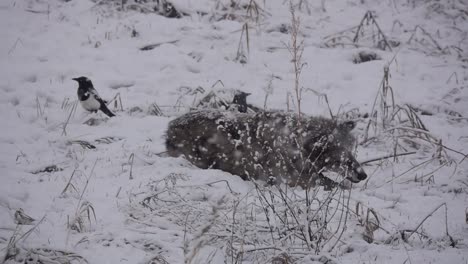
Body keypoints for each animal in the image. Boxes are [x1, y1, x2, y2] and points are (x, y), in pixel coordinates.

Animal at [166, 110, 368, 189]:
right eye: (341, 156)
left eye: (352, 150)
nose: (363, 175)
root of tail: (170, 128)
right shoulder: (294, 180)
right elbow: (334, 184)